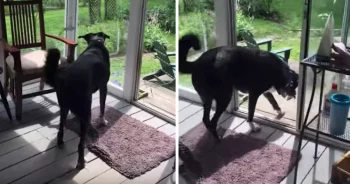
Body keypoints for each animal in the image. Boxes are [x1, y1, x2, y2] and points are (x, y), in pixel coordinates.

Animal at [43, 31, 110, 170]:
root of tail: (66, 78)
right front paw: (102, 121)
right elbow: (102, 106)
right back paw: (81, 162)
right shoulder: (103, 86)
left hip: (64, 106)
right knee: (80, 144)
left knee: (61, 128)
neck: (96, 43)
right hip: (85, 110)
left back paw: (61, 142)